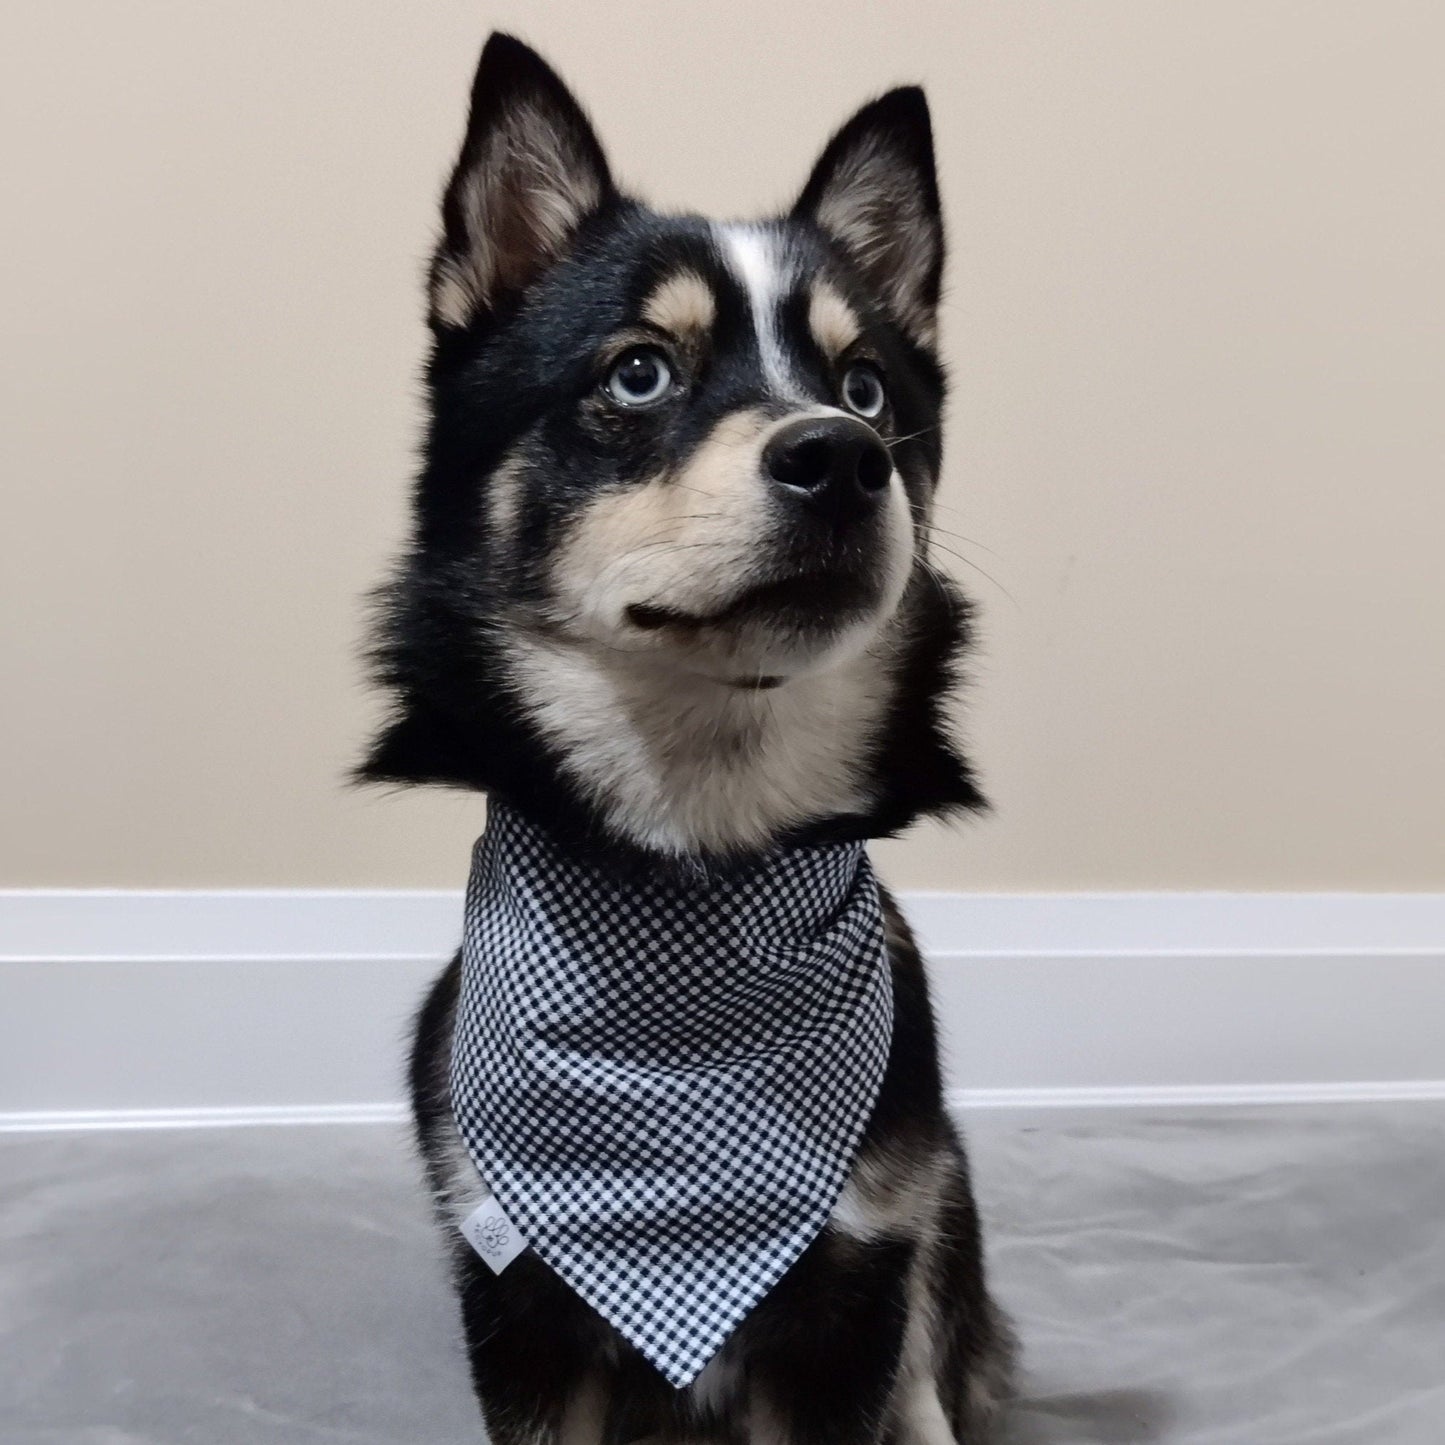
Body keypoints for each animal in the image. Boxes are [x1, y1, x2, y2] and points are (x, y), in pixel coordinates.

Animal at [361, 31, 1017, 1445]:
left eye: (866, 387)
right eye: (638, 370)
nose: (842, 456)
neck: (694, 863)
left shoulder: (856, 1278)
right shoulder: (516, 1300)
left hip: (940, 1204)